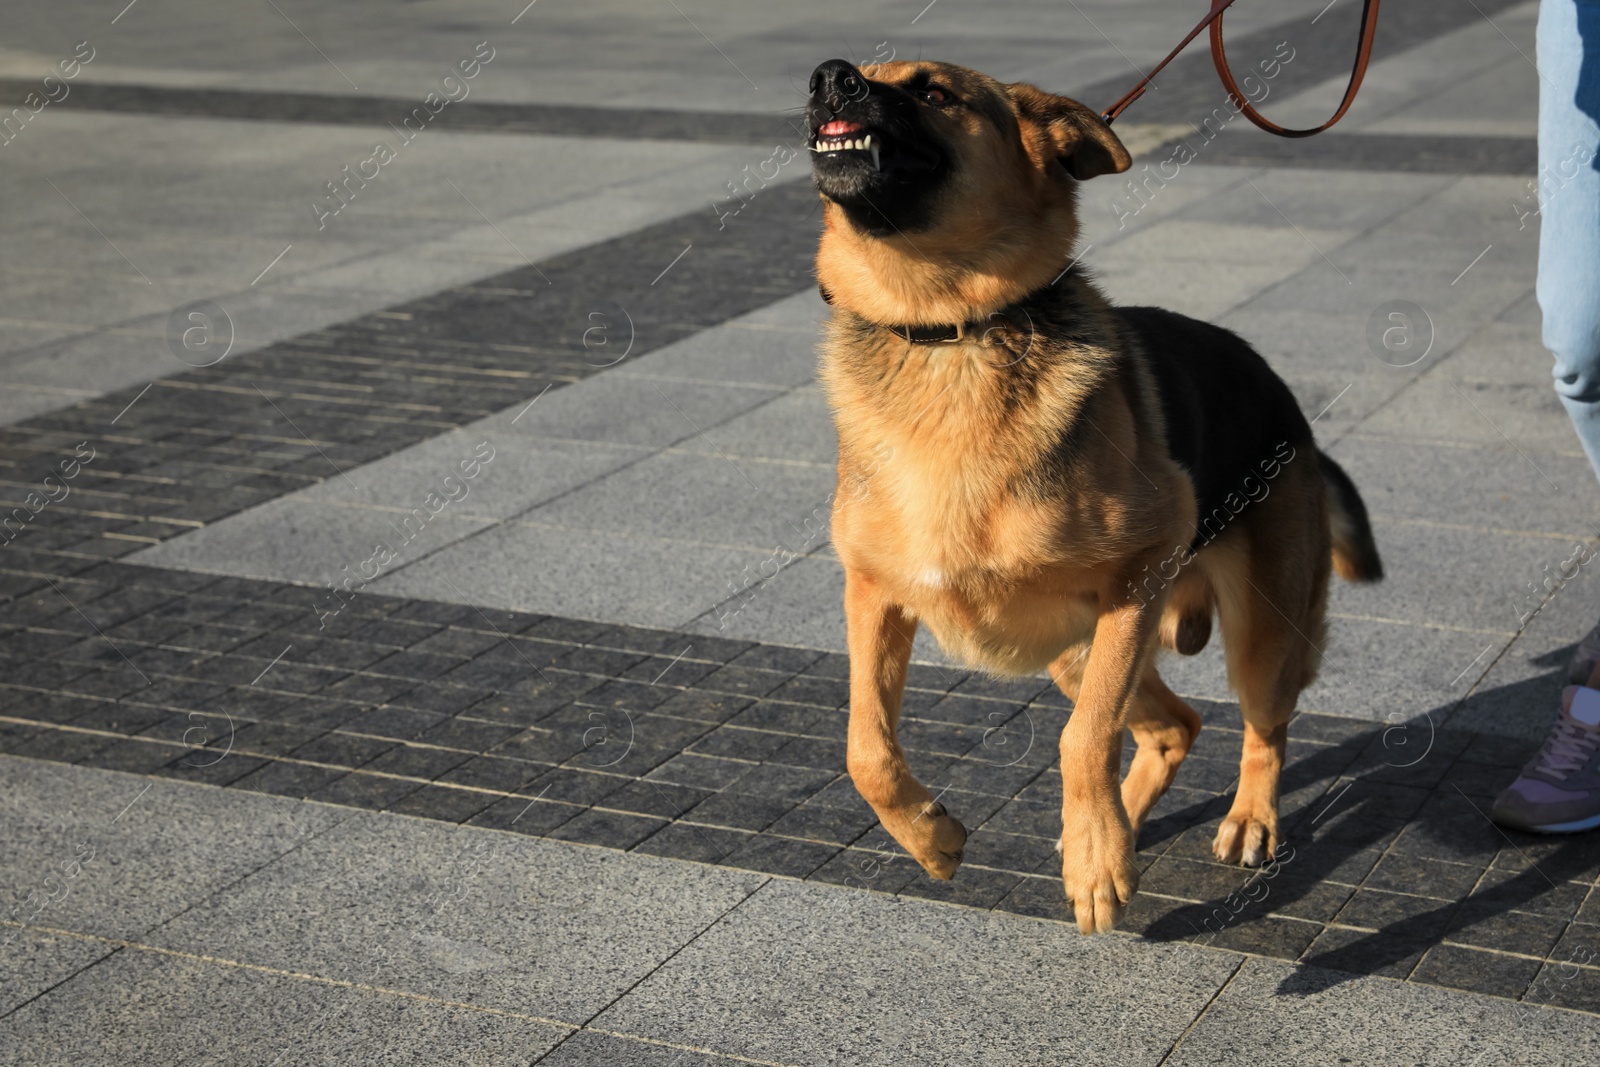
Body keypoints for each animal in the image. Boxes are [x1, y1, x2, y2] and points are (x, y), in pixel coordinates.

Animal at [806, 58, 1382, 927]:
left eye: (935, 91)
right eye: (861, 74)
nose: (828, 77)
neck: (950, 332)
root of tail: (1292, 409)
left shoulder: (1140, 568)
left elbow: (1083, 740)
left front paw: (1097, 860)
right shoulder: (872, 593)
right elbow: (863, 746)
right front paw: (933, 838)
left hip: (1252, 634)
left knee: (1259, 725)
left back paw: (1237, 819)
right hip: (1078, 651)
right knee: (1175, 724)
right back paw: (1119, 826)